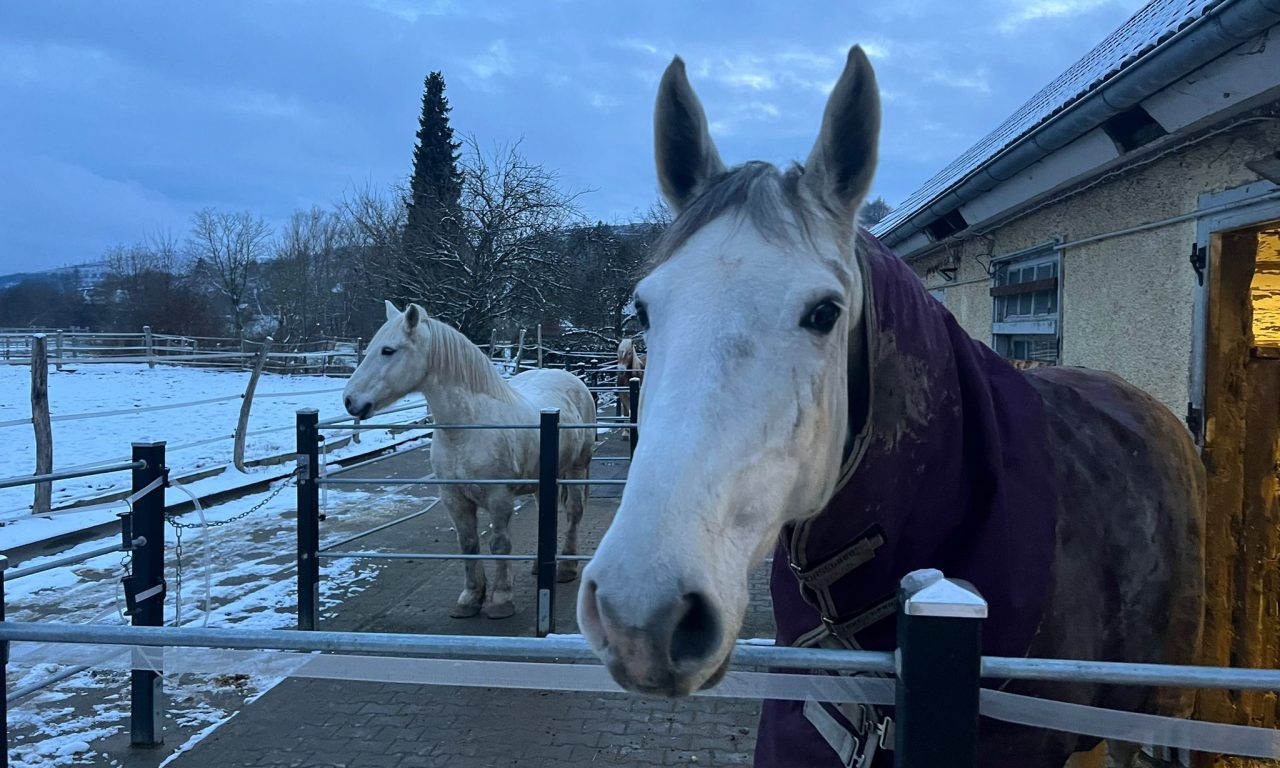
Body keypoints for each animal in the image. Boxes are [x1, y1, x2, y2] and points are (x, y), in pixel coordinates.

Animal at [344, 300, 596, 619]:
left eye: (388, 350)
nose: (350, 401)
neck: (468, 428)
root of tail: (573, 380)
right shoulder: (454, 498)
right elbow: (468, 543)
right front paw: (470, 599)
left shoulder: (499, 498)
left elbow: (499, 544)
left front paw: (501, 600)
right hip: (543, 480)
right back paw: (541, 566)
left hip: (578, 468)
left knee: (575, 512)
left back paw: (566, 567)